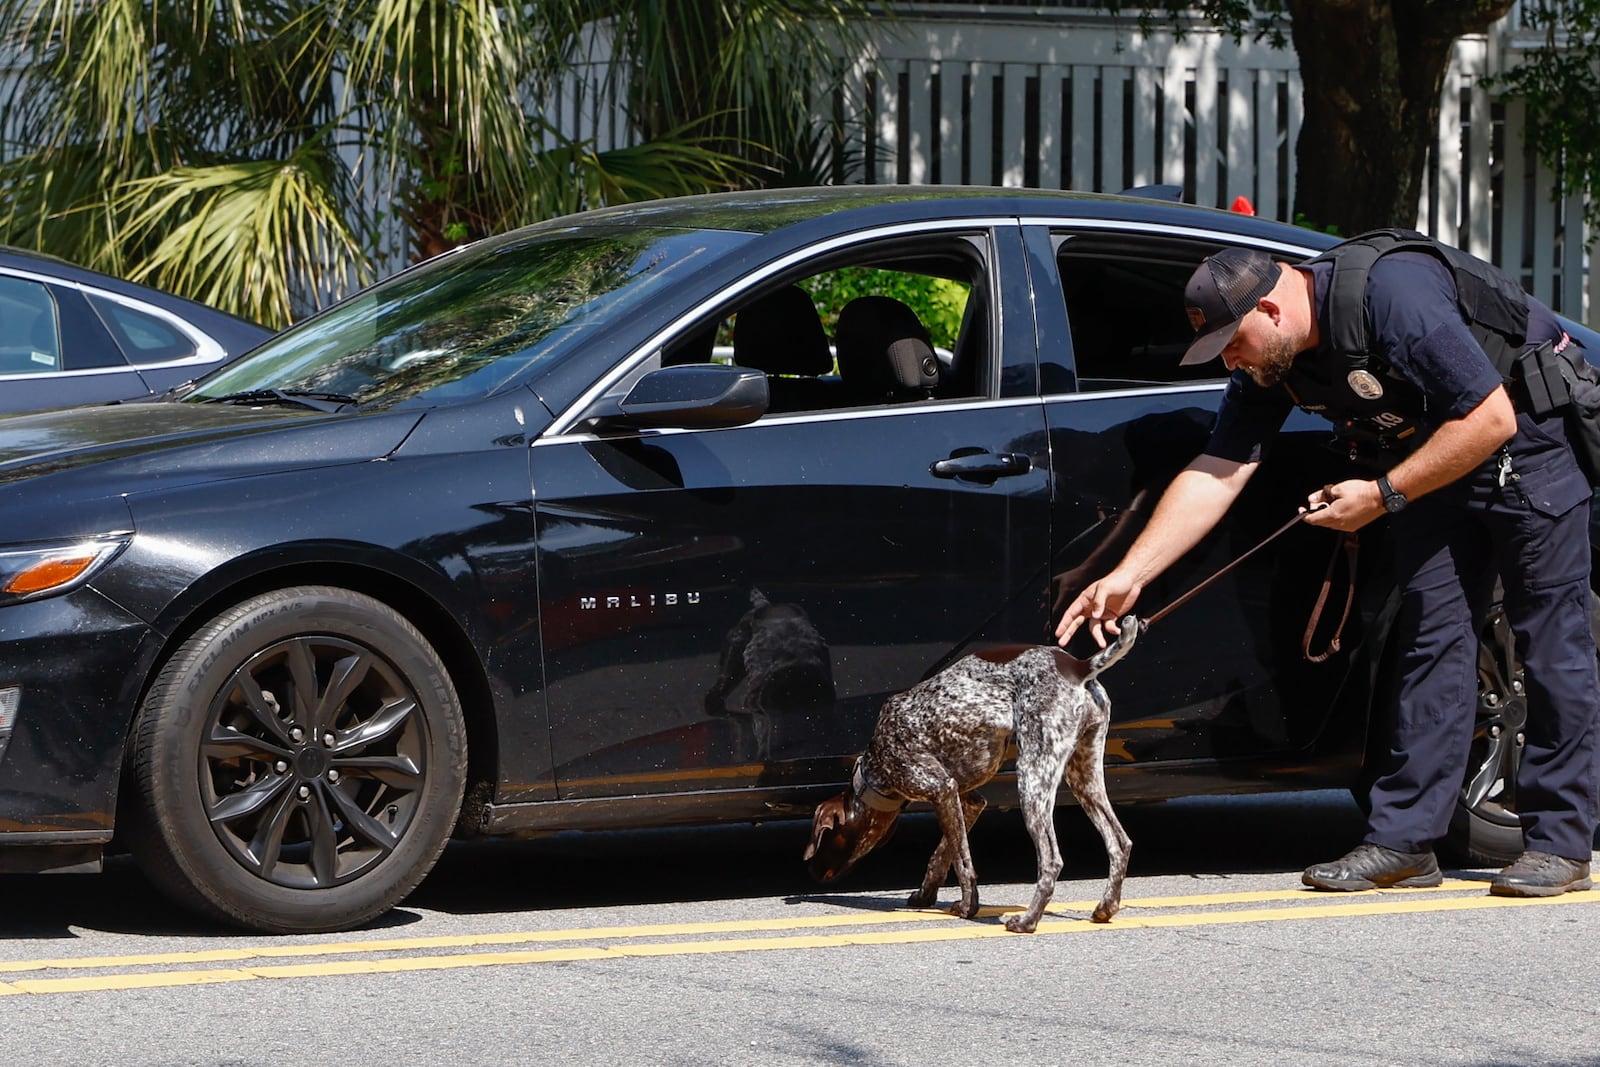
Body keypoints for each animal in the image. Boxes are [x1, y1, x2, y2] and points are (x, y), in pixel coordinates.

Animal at [800, 620, 1139, 927]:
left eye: (824, 837)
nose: (810, 872)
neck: (878, 762)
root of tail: (1079, 666)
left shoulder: (941, 789)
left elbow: (962, 862)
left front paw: (967, 908)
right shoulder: (965, 799)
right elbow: (944, 854)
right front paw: (927, 895)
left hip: (1032, 780)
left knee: (1051, 860)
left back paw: (1028, 920)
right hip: (1083, 775)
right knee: (1120, 842)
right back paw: (1106, 908)